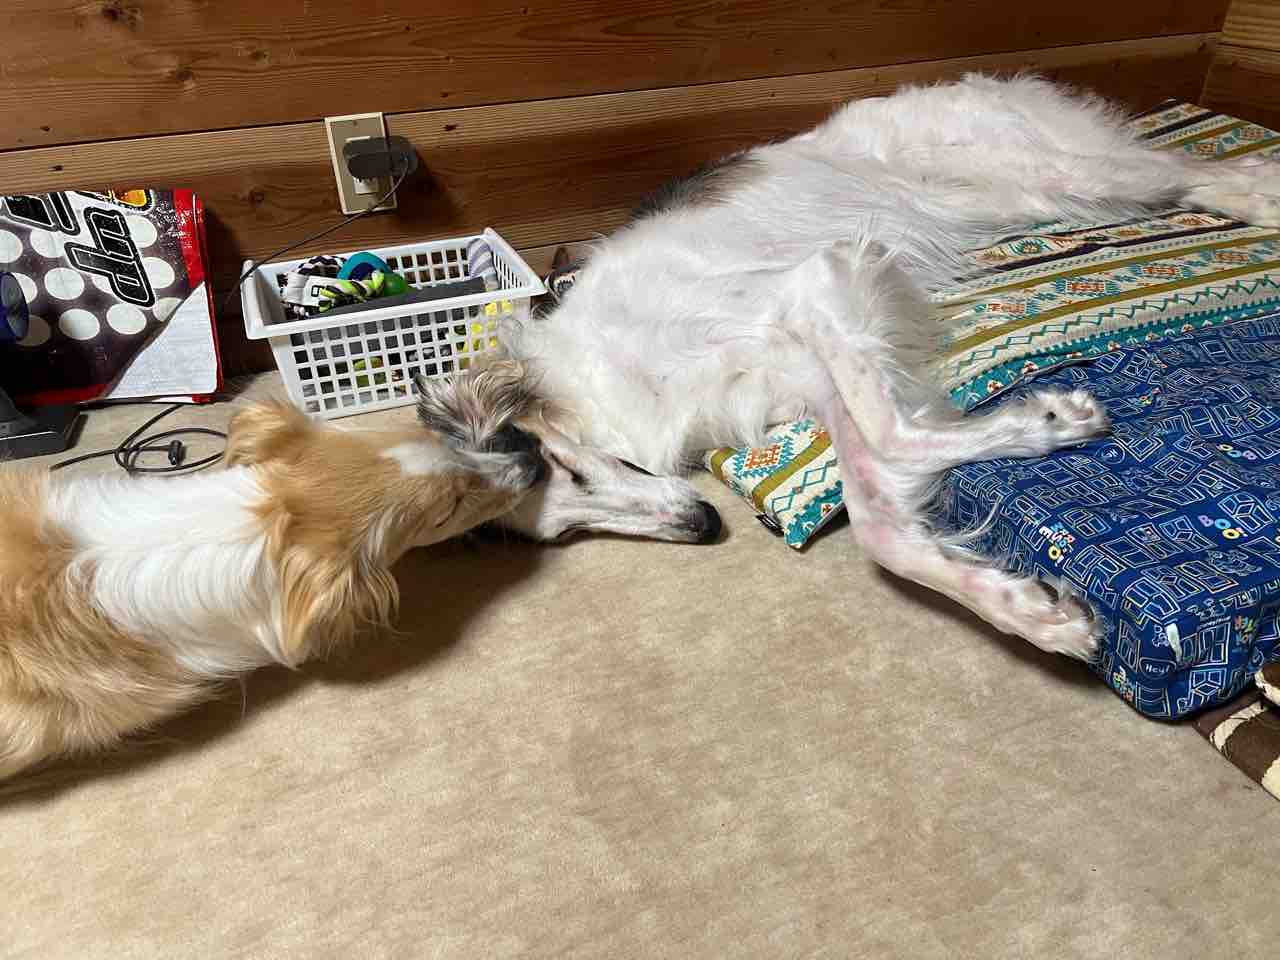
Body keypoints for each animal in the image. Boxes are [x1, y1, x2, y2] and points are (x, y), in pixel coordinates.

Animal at [416, 74, 1280, 661]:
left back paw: (1263, 194)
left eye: (567, 469)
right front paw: (1029, 608)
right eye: (565, 532)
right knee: (1196, 177)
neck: (589, 381)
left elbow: (896, 435)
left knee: (1192, 167)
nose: (704, 526)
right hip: (1043, 196)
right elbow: (880, 523)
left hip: (1062, 173)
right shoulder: (808, 375)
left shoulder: (820, 281)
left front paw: (1051, 419)